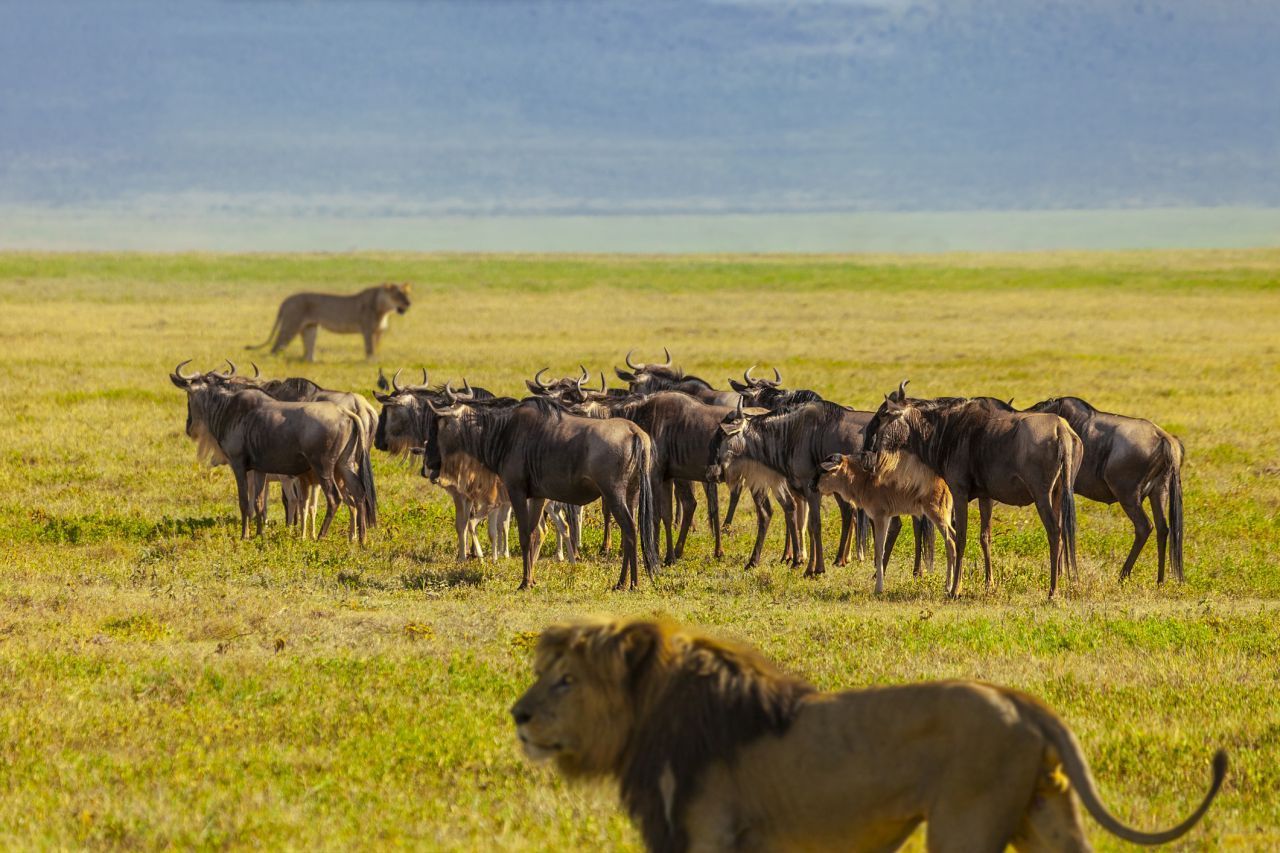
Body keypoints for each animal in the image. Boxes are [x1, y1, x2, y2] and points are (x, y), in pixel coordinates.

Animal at [244, 280, 409, 356]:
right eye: (397, 295)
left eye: (406, 294)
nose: (409, 303)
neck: (385, 309)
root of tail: (285, 301)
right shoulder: (368, 330)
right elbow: (370, 350)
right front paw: (371, 363)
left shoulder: (379, 332)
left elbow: (376, 349)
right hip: (291, 325)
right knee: (276, 347)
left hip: (309, 328)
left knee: (308, 352)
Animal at [512, 617, 1228, 850]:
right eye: (542, 672)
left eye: (566, 680)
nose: (517, 715)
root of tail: (1019, 701)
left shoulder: (710, 834)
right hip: (1046, 813)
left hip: (964, 825)